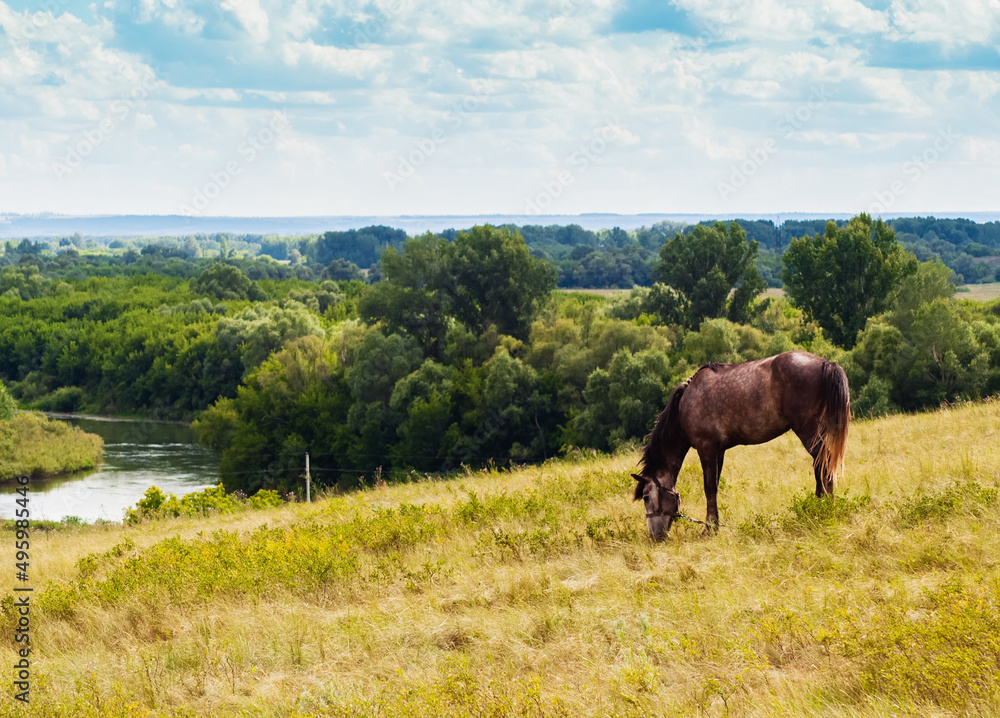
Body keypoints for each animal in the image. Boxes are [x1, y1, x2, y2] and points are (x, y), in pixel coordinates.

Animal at [628, 352, 848, 544]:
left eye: (646, 497)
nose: (654, 536)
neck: (685, 405)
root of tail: (826, 363)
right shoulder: (719, 451)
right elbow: (715, 487)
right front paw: (714, 525)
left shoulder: (706, 449)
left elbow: (709, 488)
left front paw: (709, 529)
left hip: (808, 432)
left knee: (823, 464)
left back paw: (824, 508)